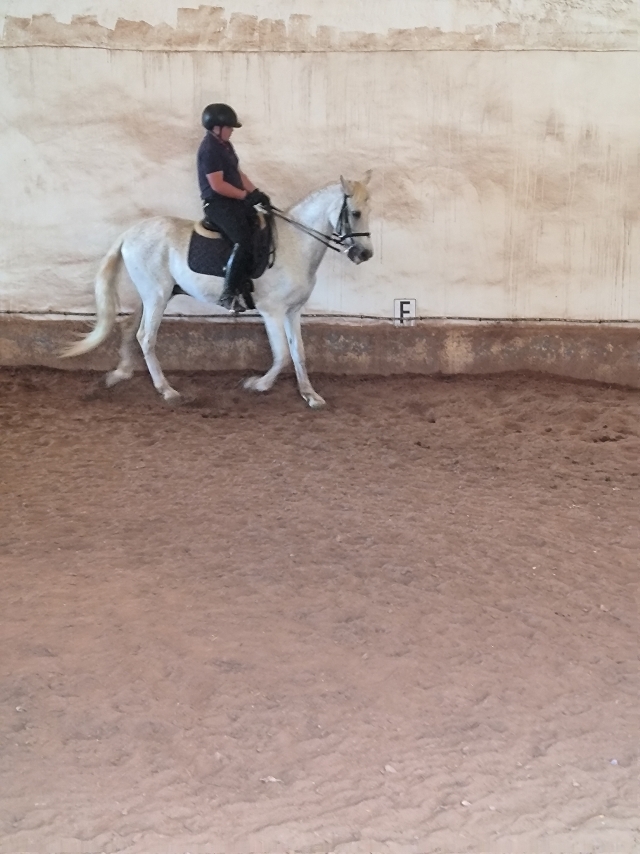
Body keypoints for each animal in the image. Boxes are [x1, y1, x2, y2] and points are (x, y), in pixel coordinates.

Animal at [62, 172, 373, 408]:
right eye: (355, 213)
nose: (365, 254)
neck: (295, 245)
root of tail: (130, 233)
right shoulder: (272, 311)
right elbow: (282, 354)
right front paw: (257, 384)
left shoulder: (293, 311)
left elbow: (299, 352)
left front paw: (310, 395)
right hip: (156, 296)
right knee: (145, 337)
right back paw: (166, 390)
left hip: (151, 295)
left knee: (128, 327)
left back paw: (120, 374)